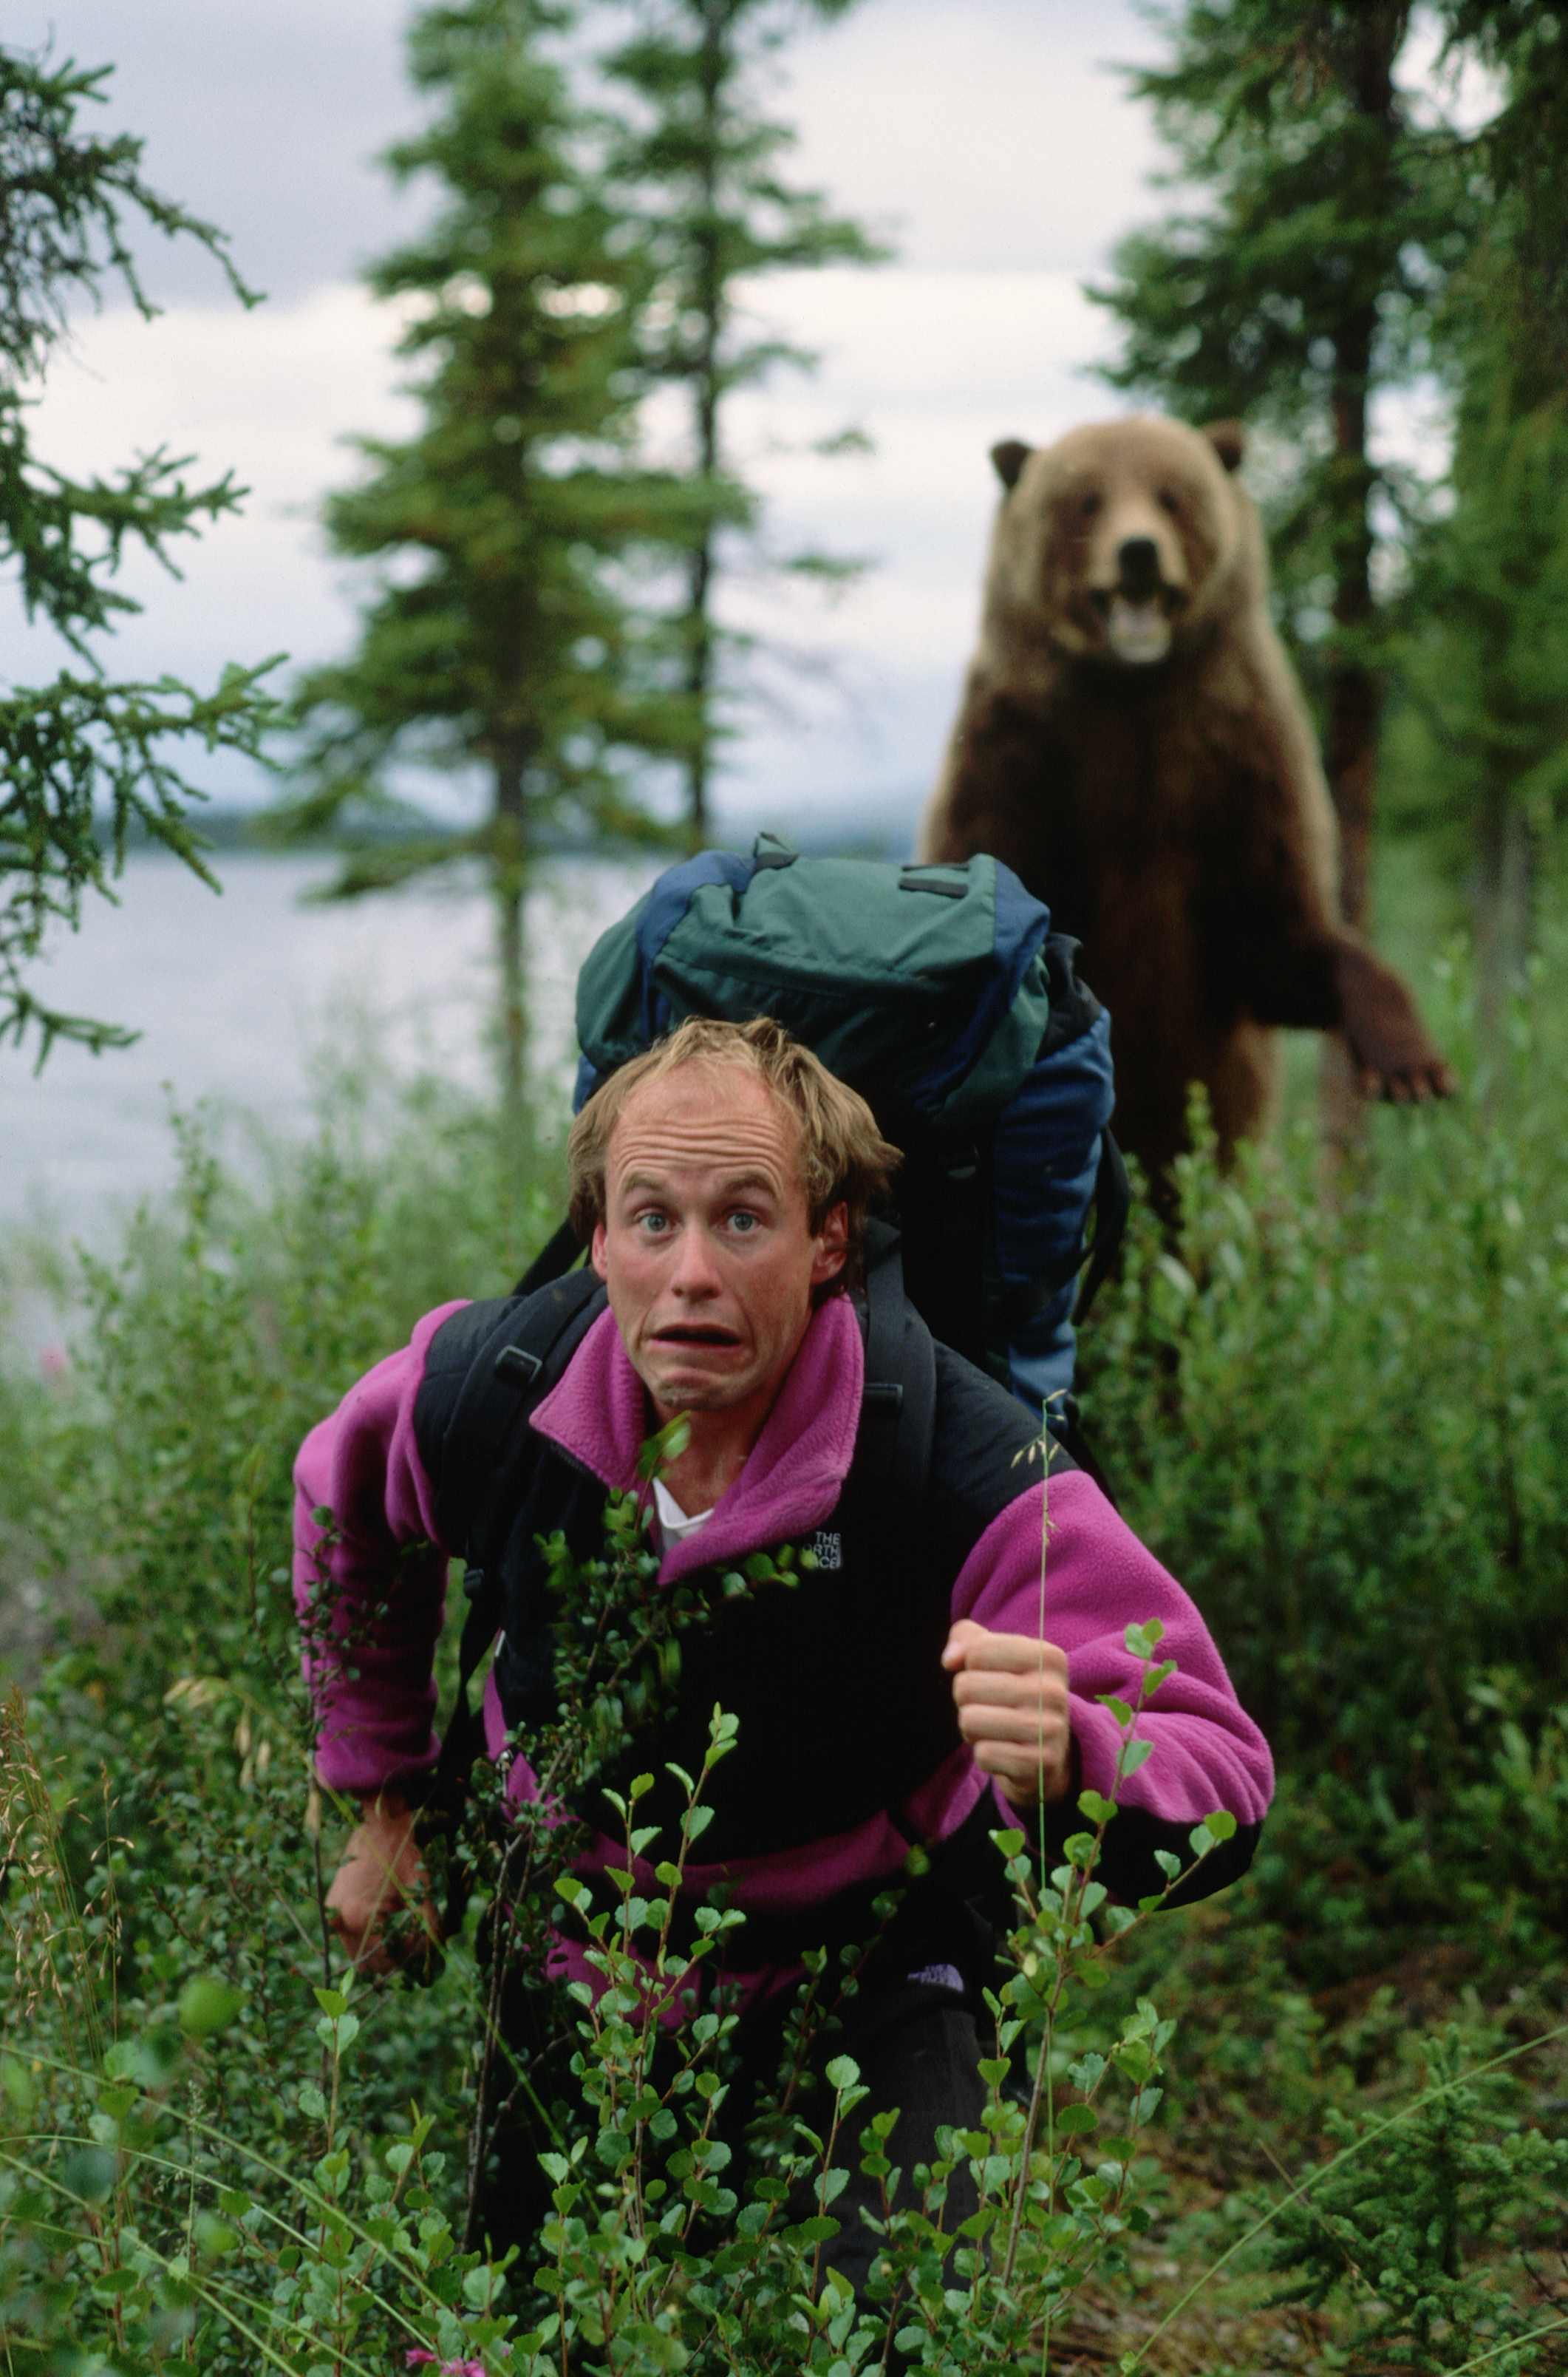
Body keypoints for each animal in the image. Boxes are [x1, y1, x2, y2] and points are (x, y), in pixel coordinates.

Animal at [917, 415, 1453, 1179]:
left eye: (1171, 496)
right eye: (1086, 500)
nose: (1138, 552)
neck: (1133, 692)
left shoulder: (1233, 763)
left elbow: (1279, 933)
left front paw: (1411, 1065)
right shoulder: (1020, 758)